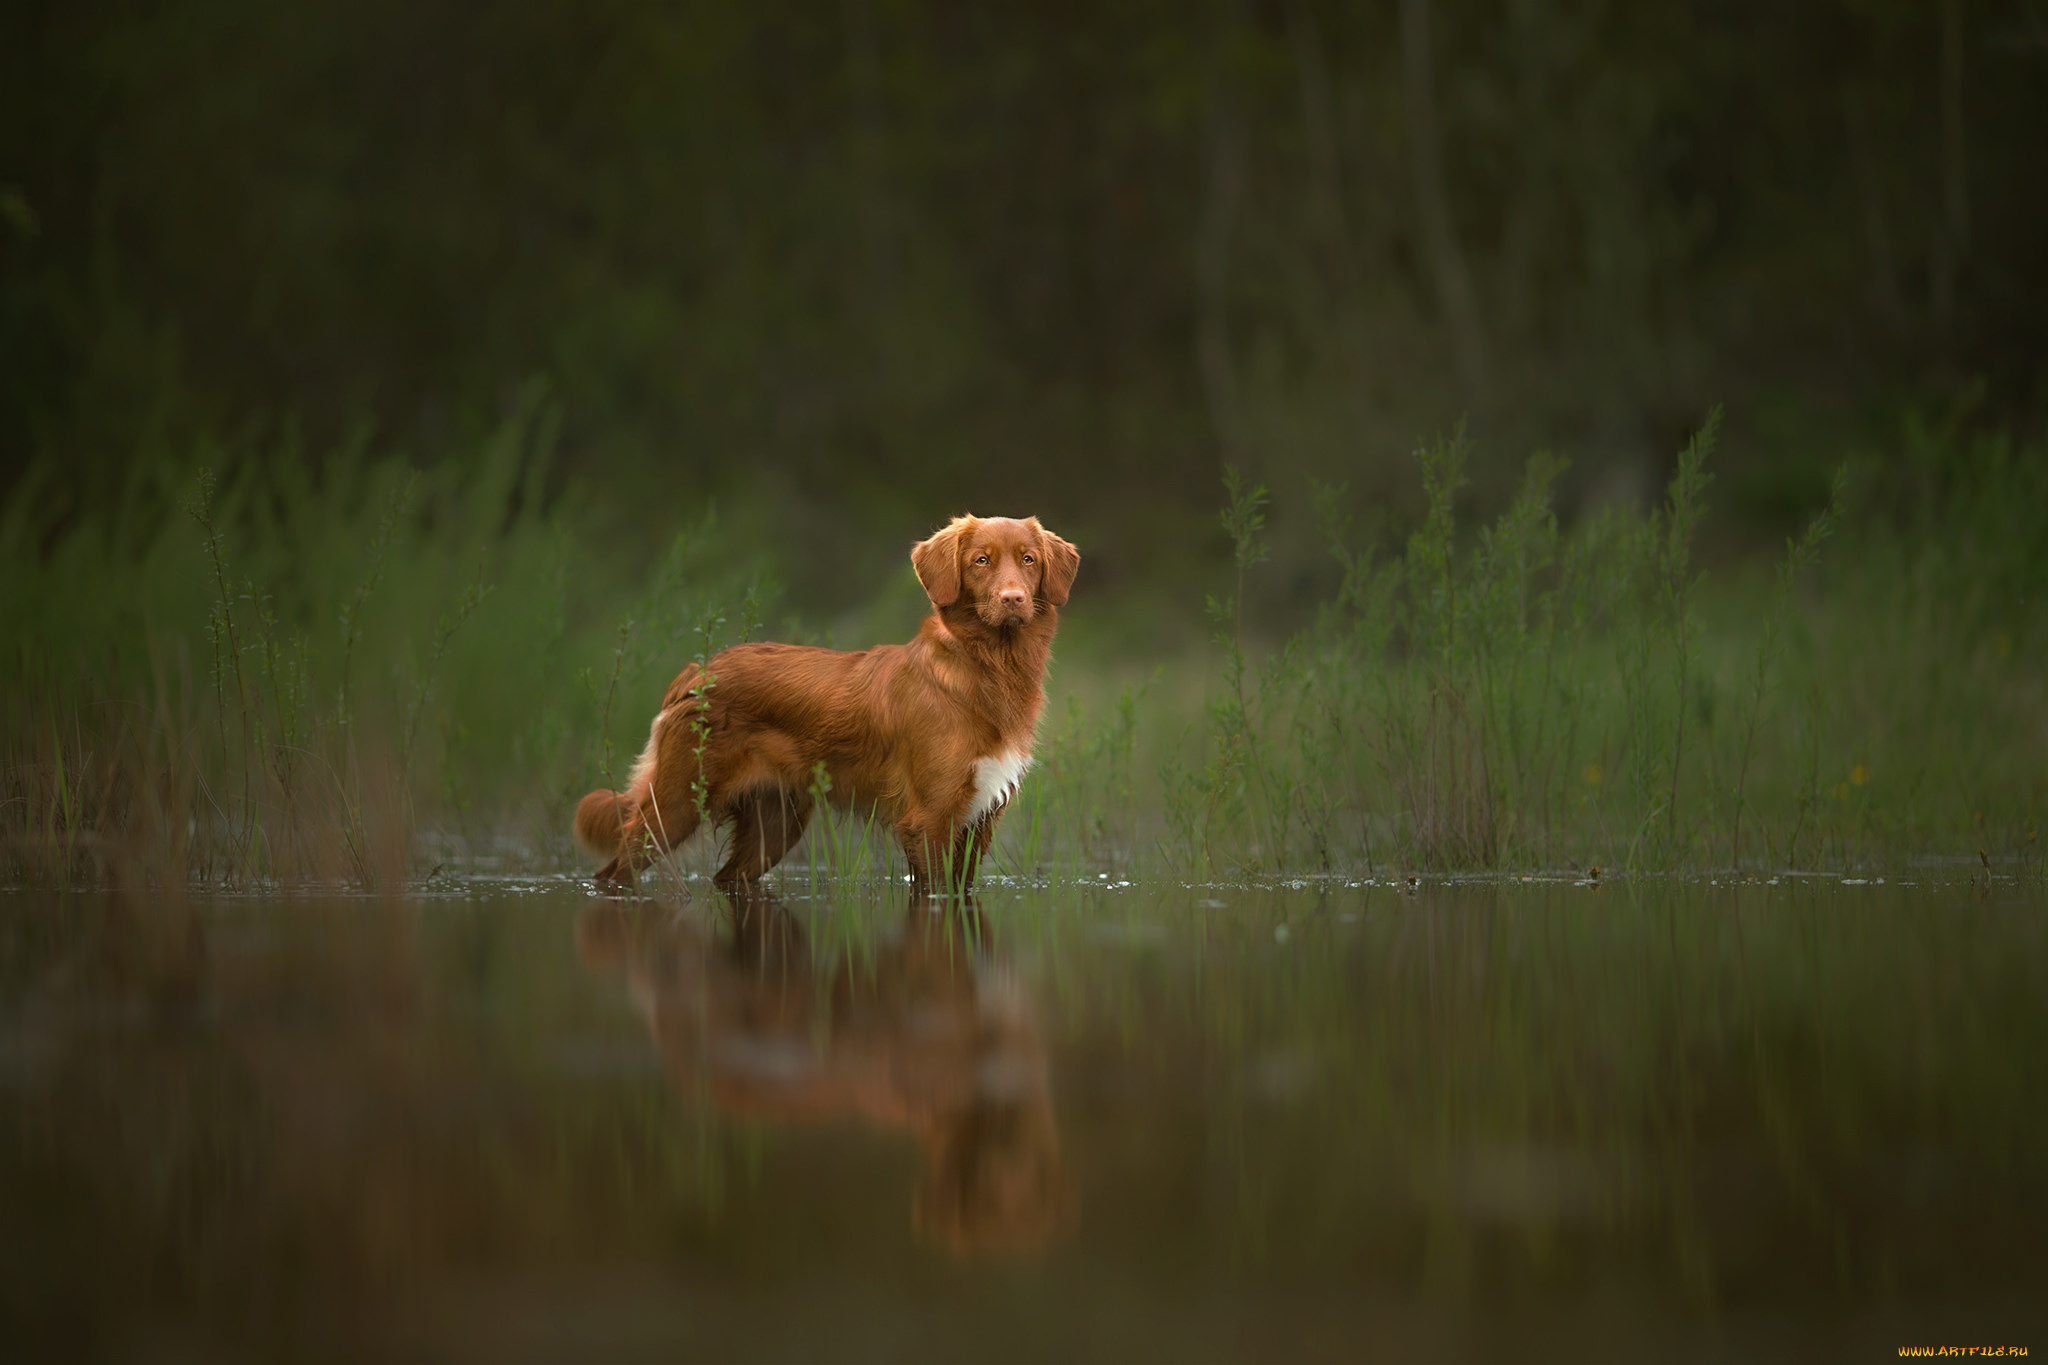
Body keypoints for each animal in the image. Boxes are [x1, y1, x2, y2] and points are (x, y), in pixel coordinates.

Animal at [573, 517, 1081, 892]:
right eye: (980, 561)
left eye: (1029, 560)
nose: (1013, 599)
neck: (986, 669)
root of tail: (696, 672)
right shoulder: (928, 819)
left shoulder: (980, 820)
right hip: (675, 805)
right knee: (614, 871)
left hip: (775, 824)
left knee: (727, 878)